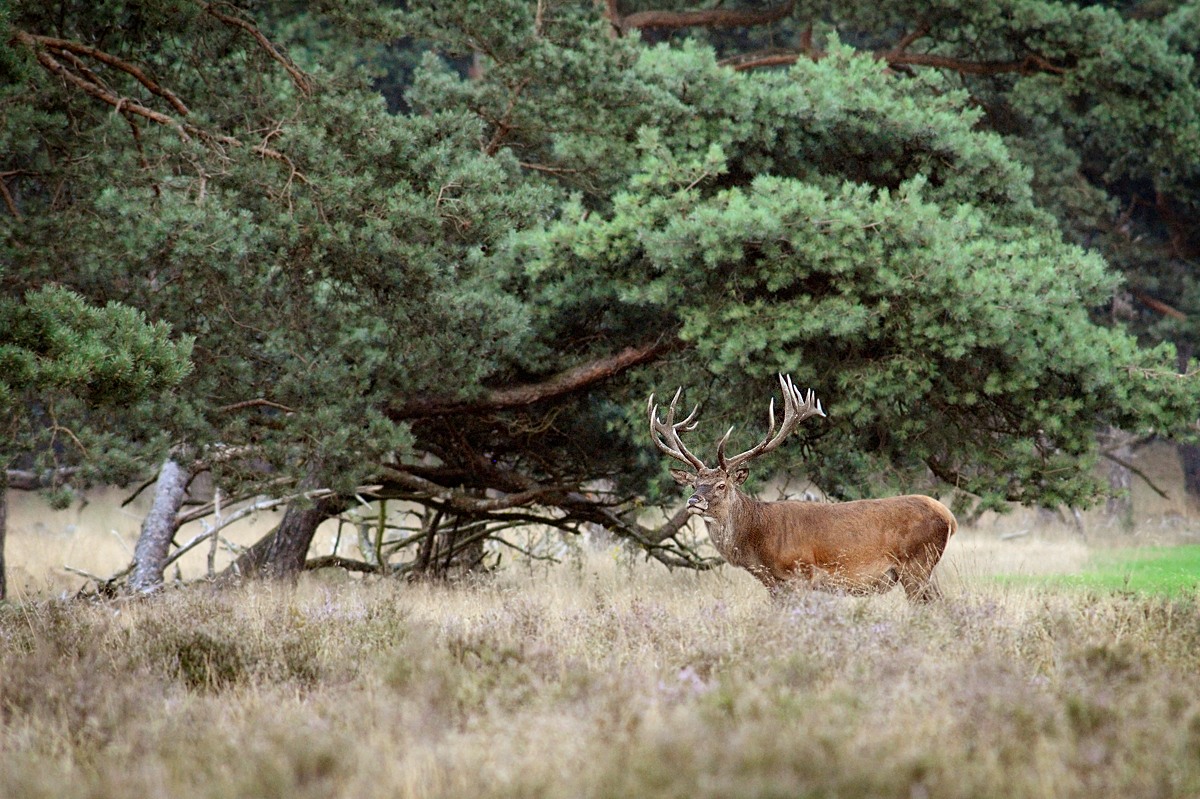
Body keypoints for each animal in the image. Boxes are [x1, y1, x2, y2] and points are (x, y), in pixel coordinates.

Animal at [649, 375, 957, 601]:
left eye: (721, 485)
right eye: (695, 483)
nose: (694, 501)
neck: (758, 541)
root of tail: (948, 517)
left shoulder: (800, 575)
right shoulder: (775, 585)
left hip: (916, 564)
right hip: (924, 570)